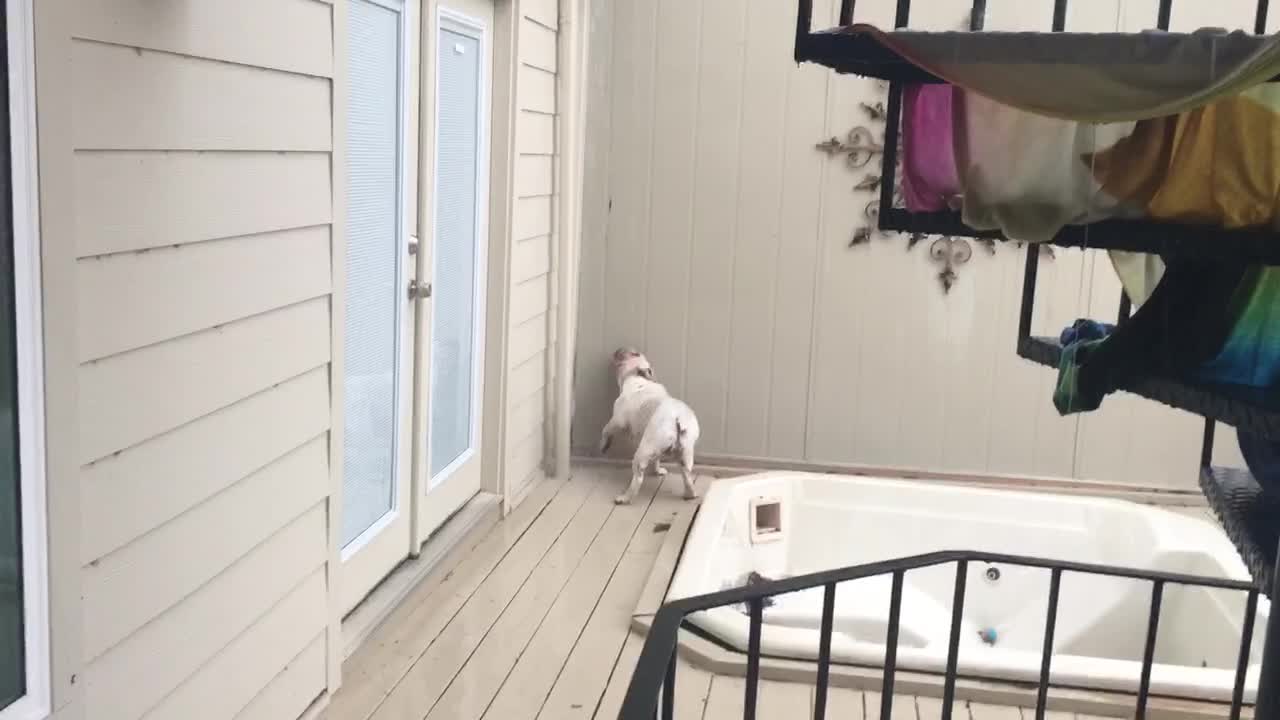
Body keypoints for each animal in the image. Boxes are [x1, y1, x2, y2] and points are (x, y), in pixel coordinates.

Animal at [599, 348, 701, 504]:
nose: (617, 351)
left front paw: (603, 446)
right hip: (685, 453)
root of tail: (677, 418)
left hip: (643, 451)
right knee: (687, 476)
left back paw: (624, 498)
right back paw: (689, 494)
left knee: (638, 478)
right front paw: (657, 470)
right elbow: (656, 460)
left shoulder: (617, 421)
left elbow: (606, 430)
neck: (637, 376)